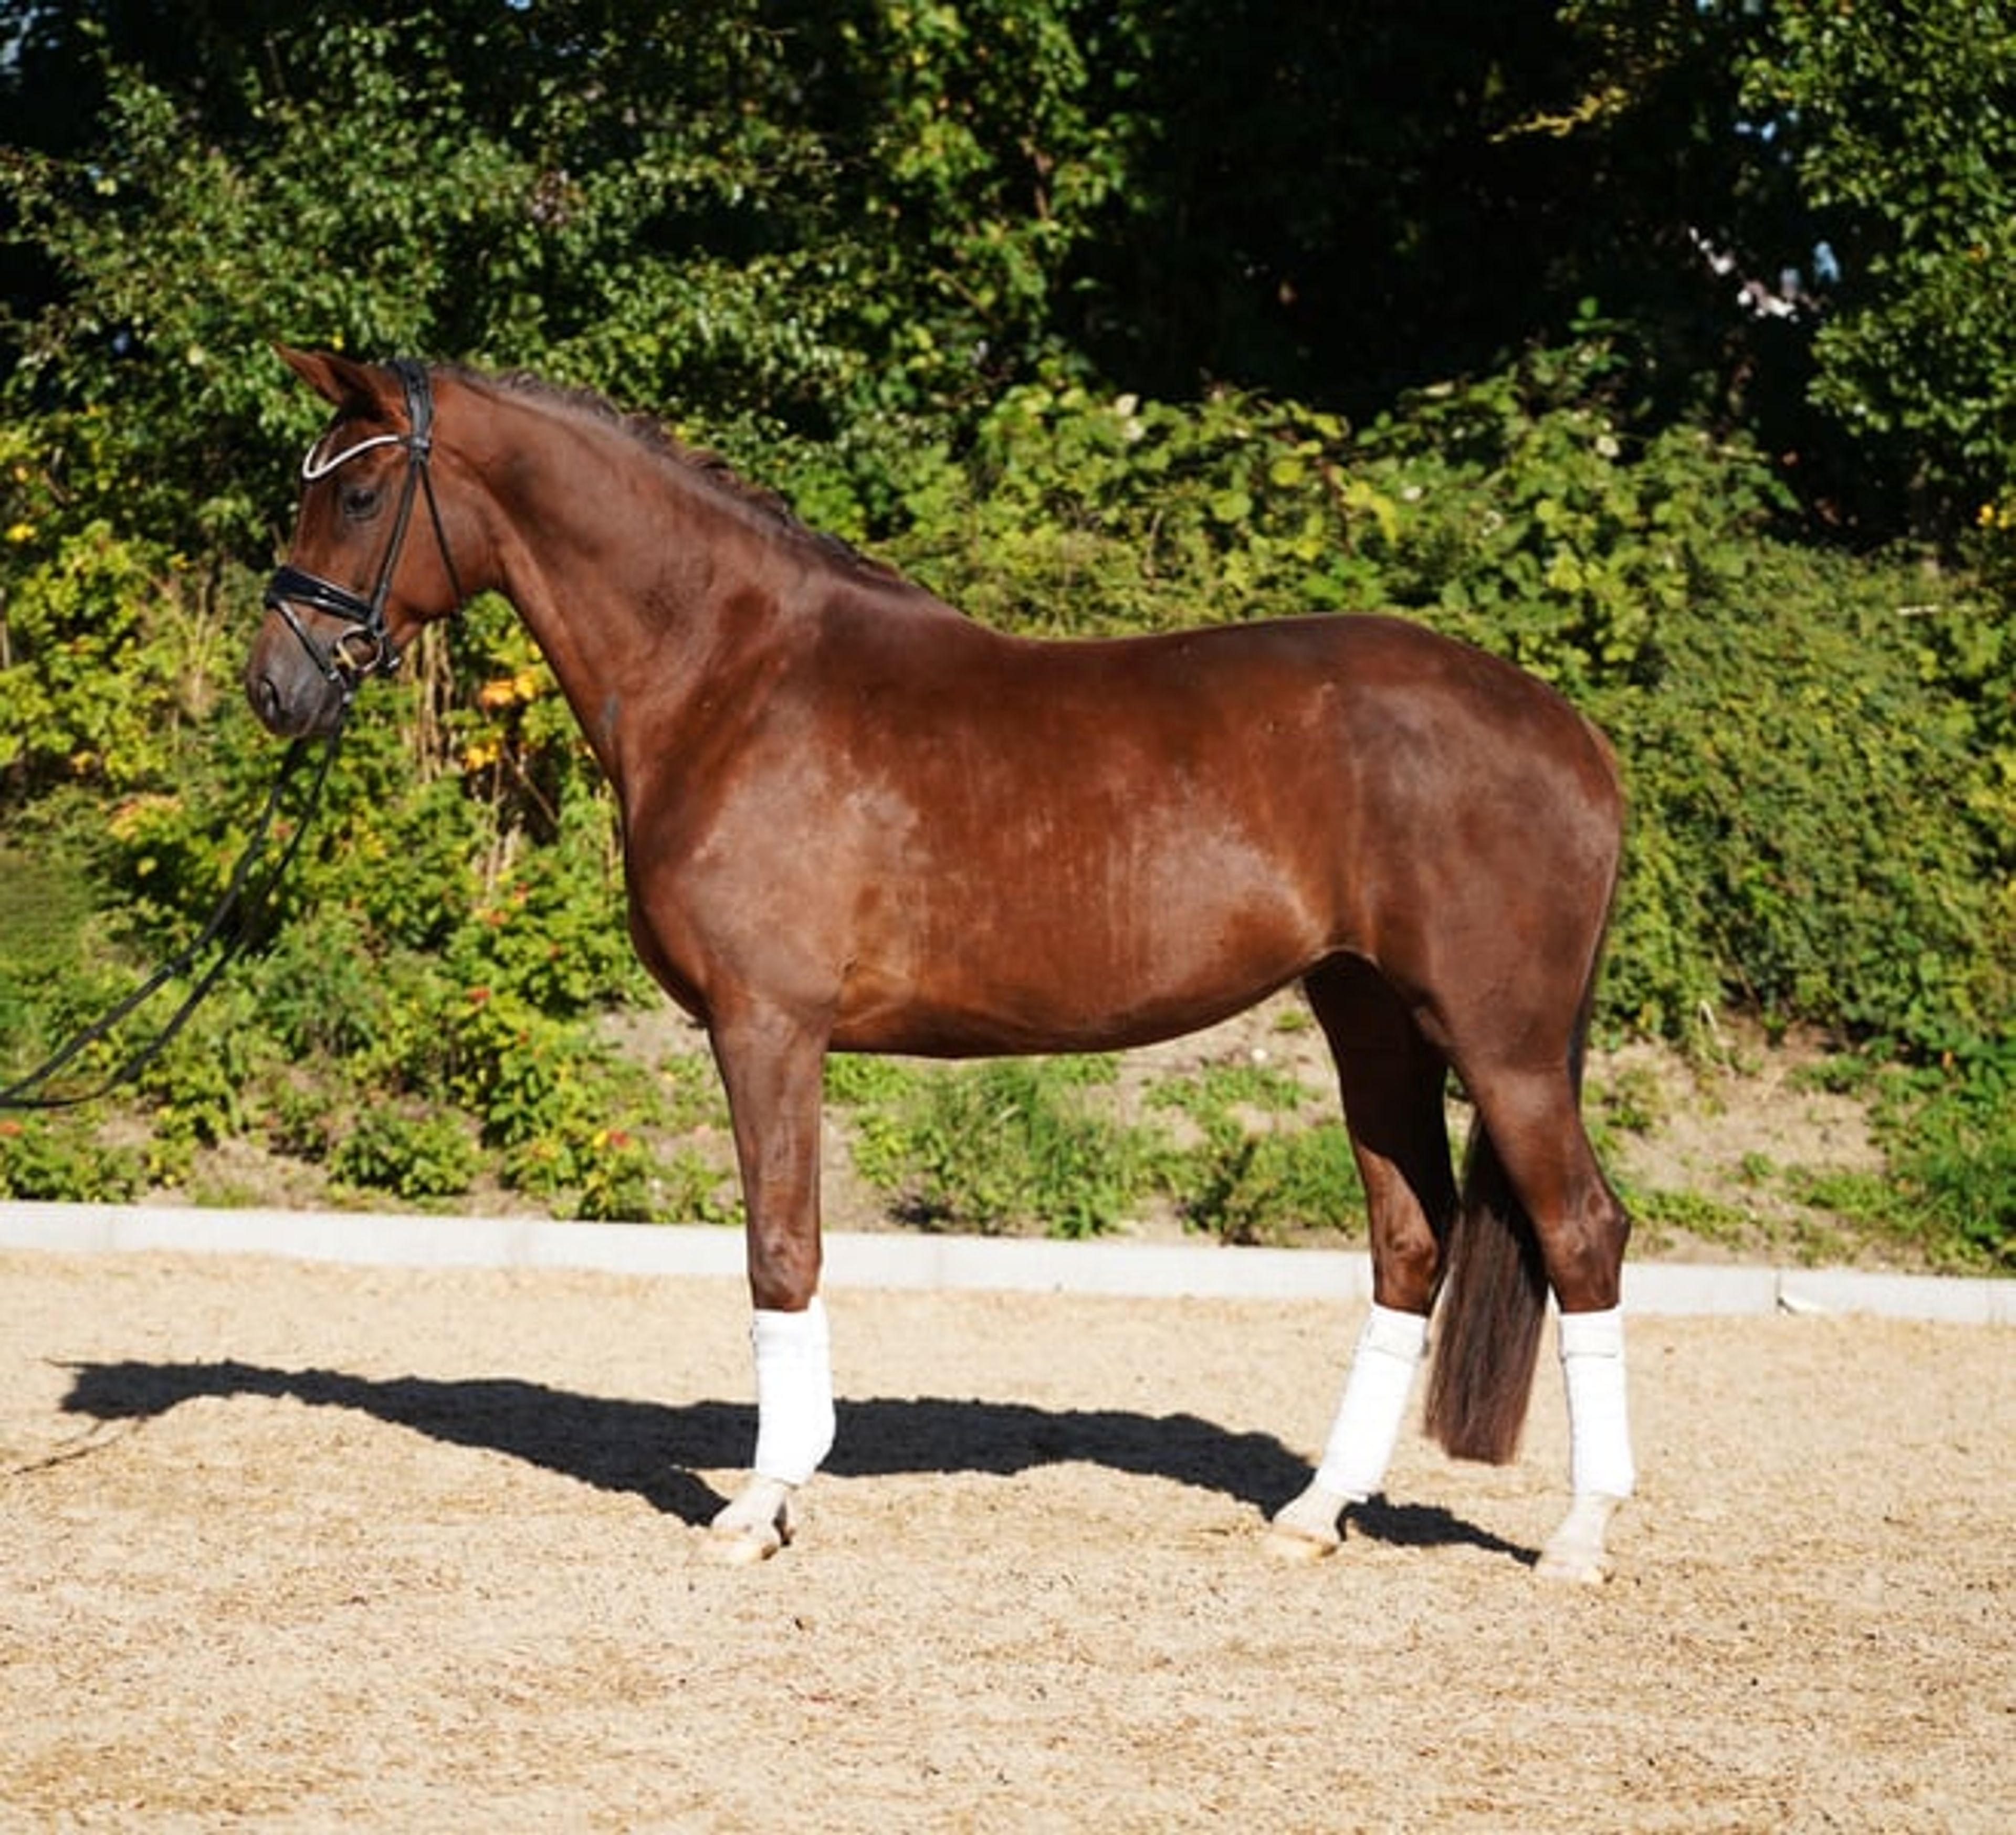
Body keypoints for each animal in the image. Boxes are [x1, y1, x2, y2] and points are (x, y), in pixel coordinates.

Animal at [247, 349, 1636, 1578]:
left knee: (1581, 1231)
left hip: (1501, 1044)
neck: (730, 674)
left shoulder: (767, 1025)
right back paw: (1313, 1513)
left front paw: (761, 1503)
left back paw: (1577, 1536)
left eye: (358, 496)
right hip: (1368, 1016)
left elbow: (781, 1248)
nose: (276, 686)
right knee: (1410, 1241)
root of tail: (1570, 733)